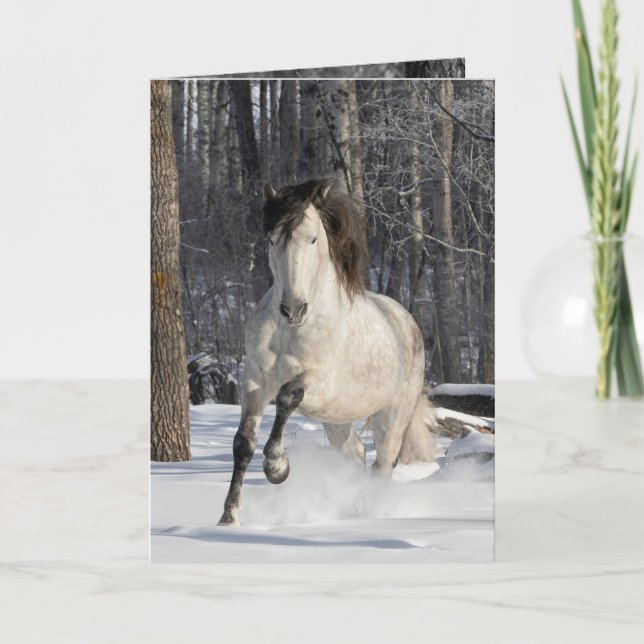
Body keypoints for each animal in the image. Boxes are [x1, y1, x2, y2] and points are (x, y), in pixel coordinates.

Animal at [218, 178, 436, 526]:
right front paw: (228, 518)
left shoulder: (318, 383)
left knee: (383, 465)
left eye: (313, 238)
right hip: (337, 420)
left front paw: (277, 468)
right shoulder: (253, 381)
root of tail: (406, 321)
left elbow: (287, 396)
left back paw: (369, 512)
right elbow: (243, 444)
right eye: (271, 238)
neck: (292, 330)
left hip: (391, 416)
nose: (293, 309)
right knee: (356, 454)